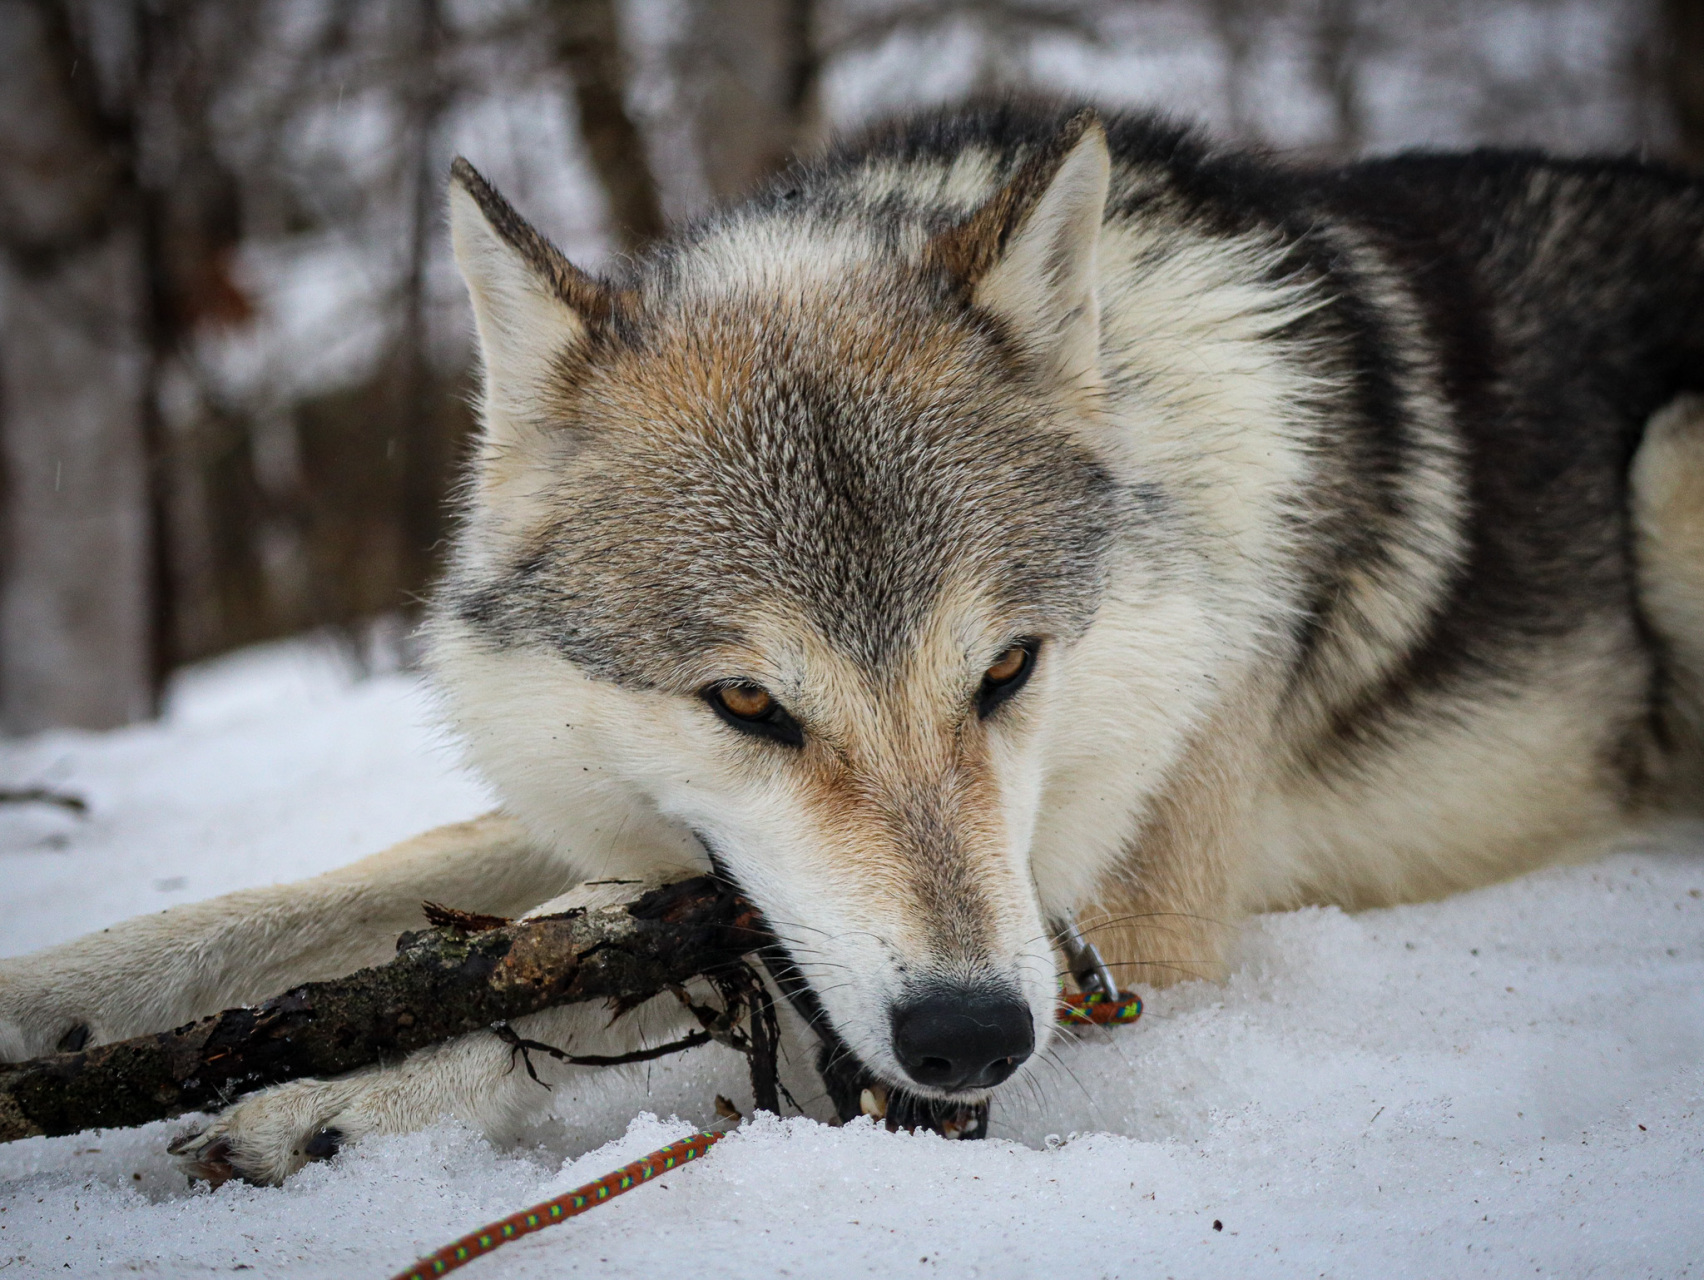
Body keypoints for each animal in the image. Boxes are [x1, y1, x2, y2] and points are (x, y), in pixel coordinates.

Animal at [3, 102, 1704, 1193]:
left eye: (1007, 671)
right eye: (748, 702)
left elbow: (572, 984)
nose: (971, 1042)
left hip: (1675, 452)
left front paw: (329, 1097)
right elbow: (307, 909)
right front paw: (58, 1004)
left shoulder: (1128, 946)